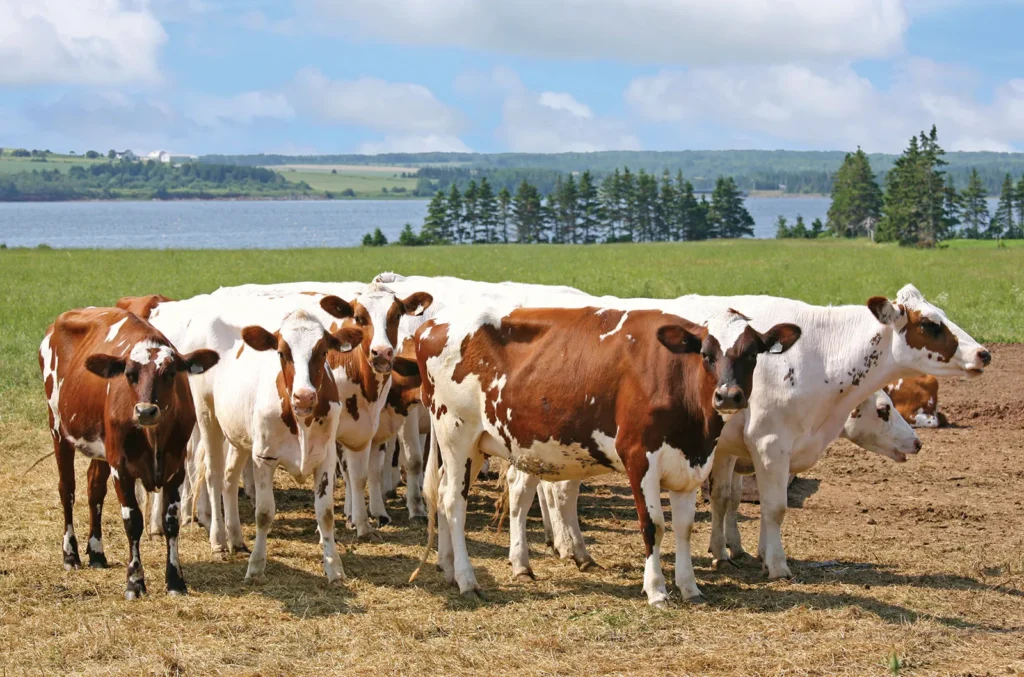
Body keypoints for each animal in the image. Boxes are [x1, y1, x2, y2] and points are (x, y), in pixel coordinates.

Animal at [39, 307, 218, 598]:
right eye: (130, 374)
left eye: (170, 373)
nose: (146, 411)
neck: (154, 436)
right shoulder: (121, 469)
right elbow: (132, 522)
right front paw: (135, 581)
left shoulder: (176, 469)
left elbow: (171, 522)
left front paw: (175, 580)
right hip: (58, 429)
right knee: (67, 490)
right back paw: (70, 554)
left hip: (101, 449)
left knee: (94, 490)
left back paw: (96, 553)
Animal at [411, 302, 802, 606]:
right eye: (706, 355)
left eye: (751, 354)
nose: (728, 396)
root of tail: (433, 324)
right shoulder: (639, 457)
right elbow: (654, 525)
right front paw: (656, 590)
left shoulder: (690, 465)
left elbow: (684, 528)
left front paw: (689, 587)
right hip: (456, 433)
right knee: (454, 502)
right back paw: (466, 579)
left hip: (478, 444)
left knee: (448, 494)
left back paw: (453, 568)